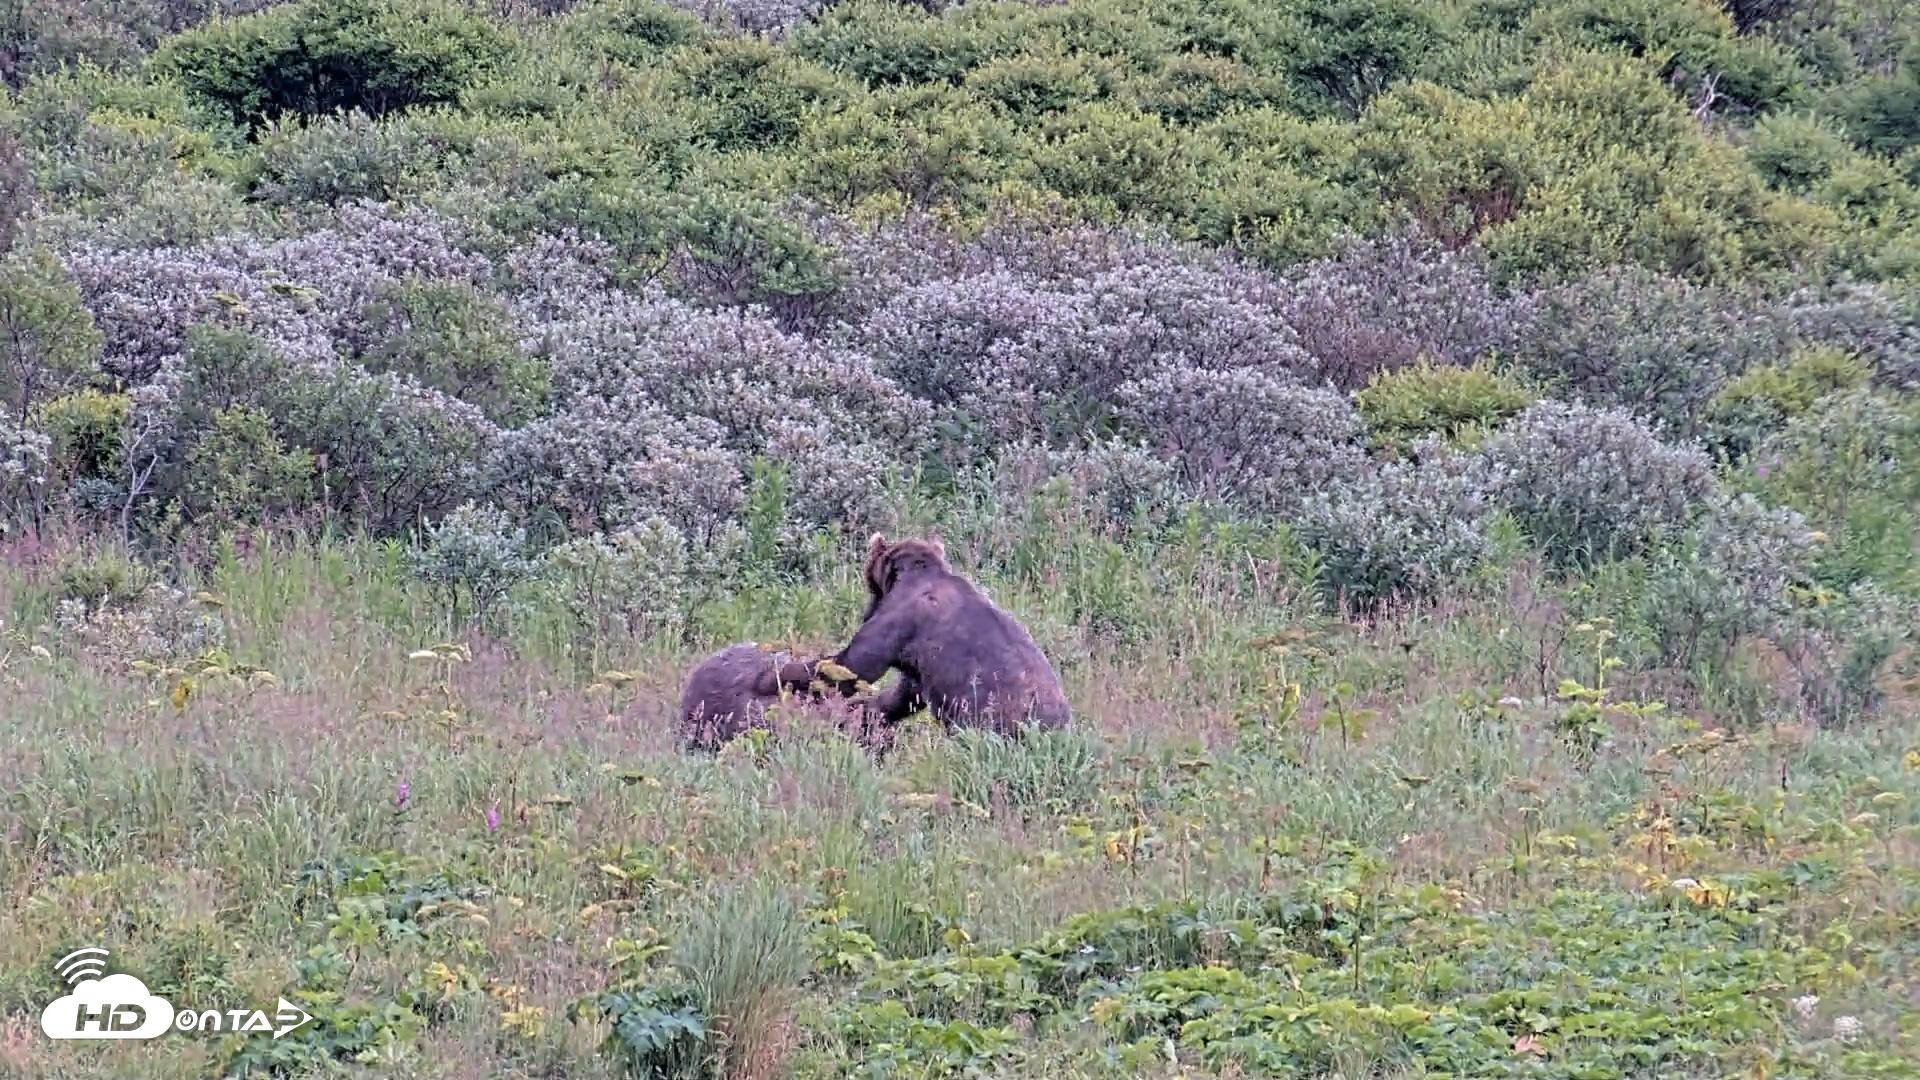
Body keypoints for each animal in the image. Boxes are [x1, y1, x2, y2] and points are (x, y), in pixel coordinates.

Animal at [788, 533, 1072, 737]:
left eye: (871, 584)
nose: (865, 611)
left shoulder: (900, 621)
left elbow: (856, 664)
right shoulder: (919, 665)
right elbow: (904, 693)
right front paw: (870, 710)